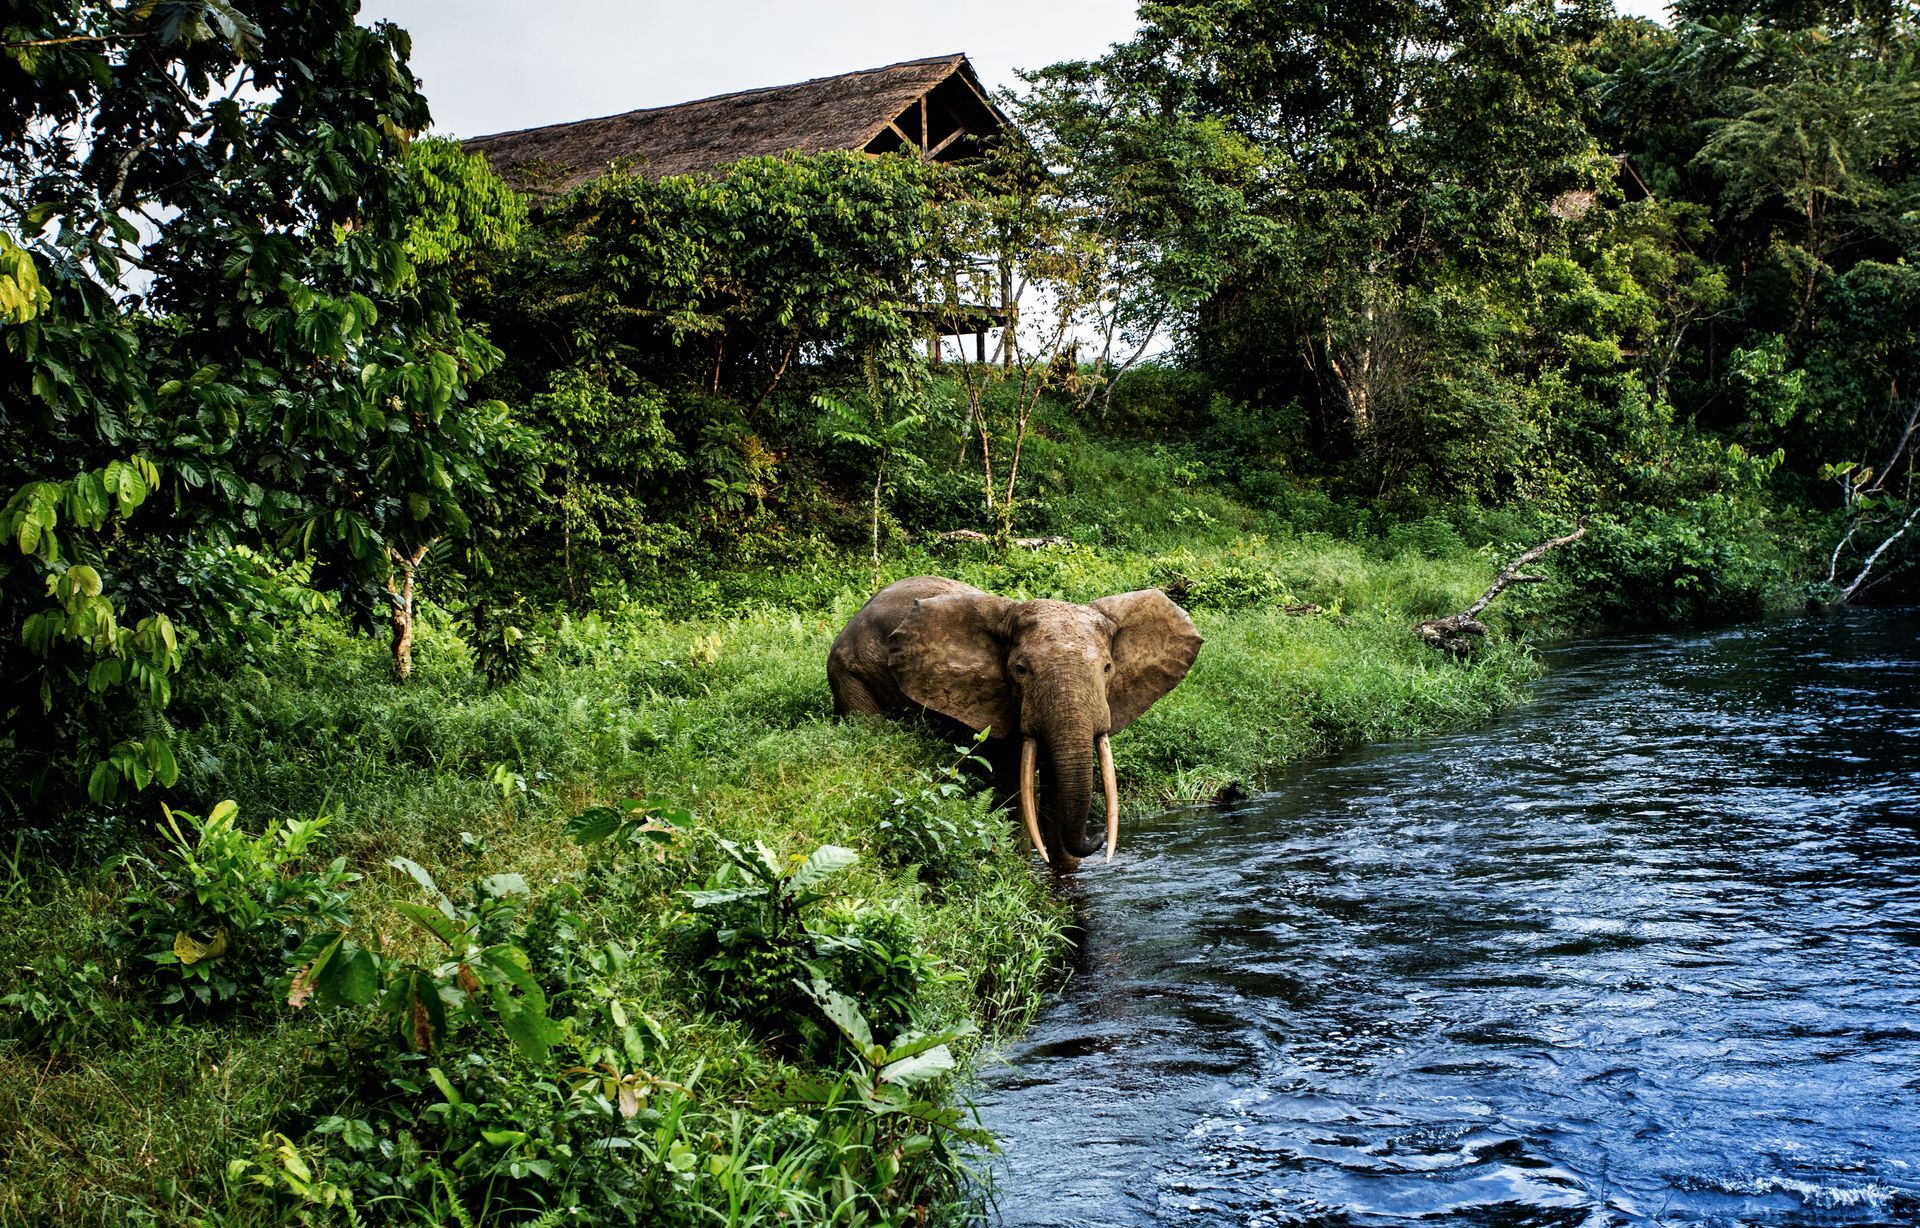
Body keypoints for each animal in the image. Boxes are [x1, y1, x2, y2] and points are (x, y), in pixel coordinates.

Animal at [828, 576, 1203, 871]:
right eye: (1020, 670)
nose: (1096, 835)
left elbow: (1055, 787)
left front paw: (1065, 872)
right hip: (849, 673)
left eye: (1108, 668)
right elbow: (1010, 787)